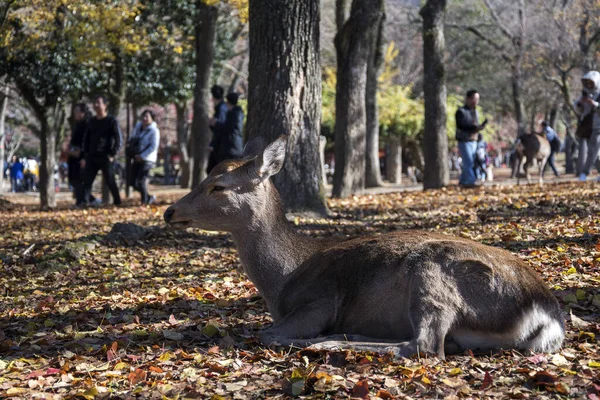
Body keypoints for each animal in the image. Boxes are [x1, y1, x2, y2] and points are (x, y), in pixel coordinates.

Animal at [163, 136, 564, 358]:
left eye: (219, 185)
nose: (170, 211)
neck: (282, 281)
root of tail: (547, 313)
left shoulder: (320, 300)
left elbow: (268, 333)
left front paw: (307, 338)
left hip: (433, 273)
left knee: (425, 345)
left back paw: (328, 343)